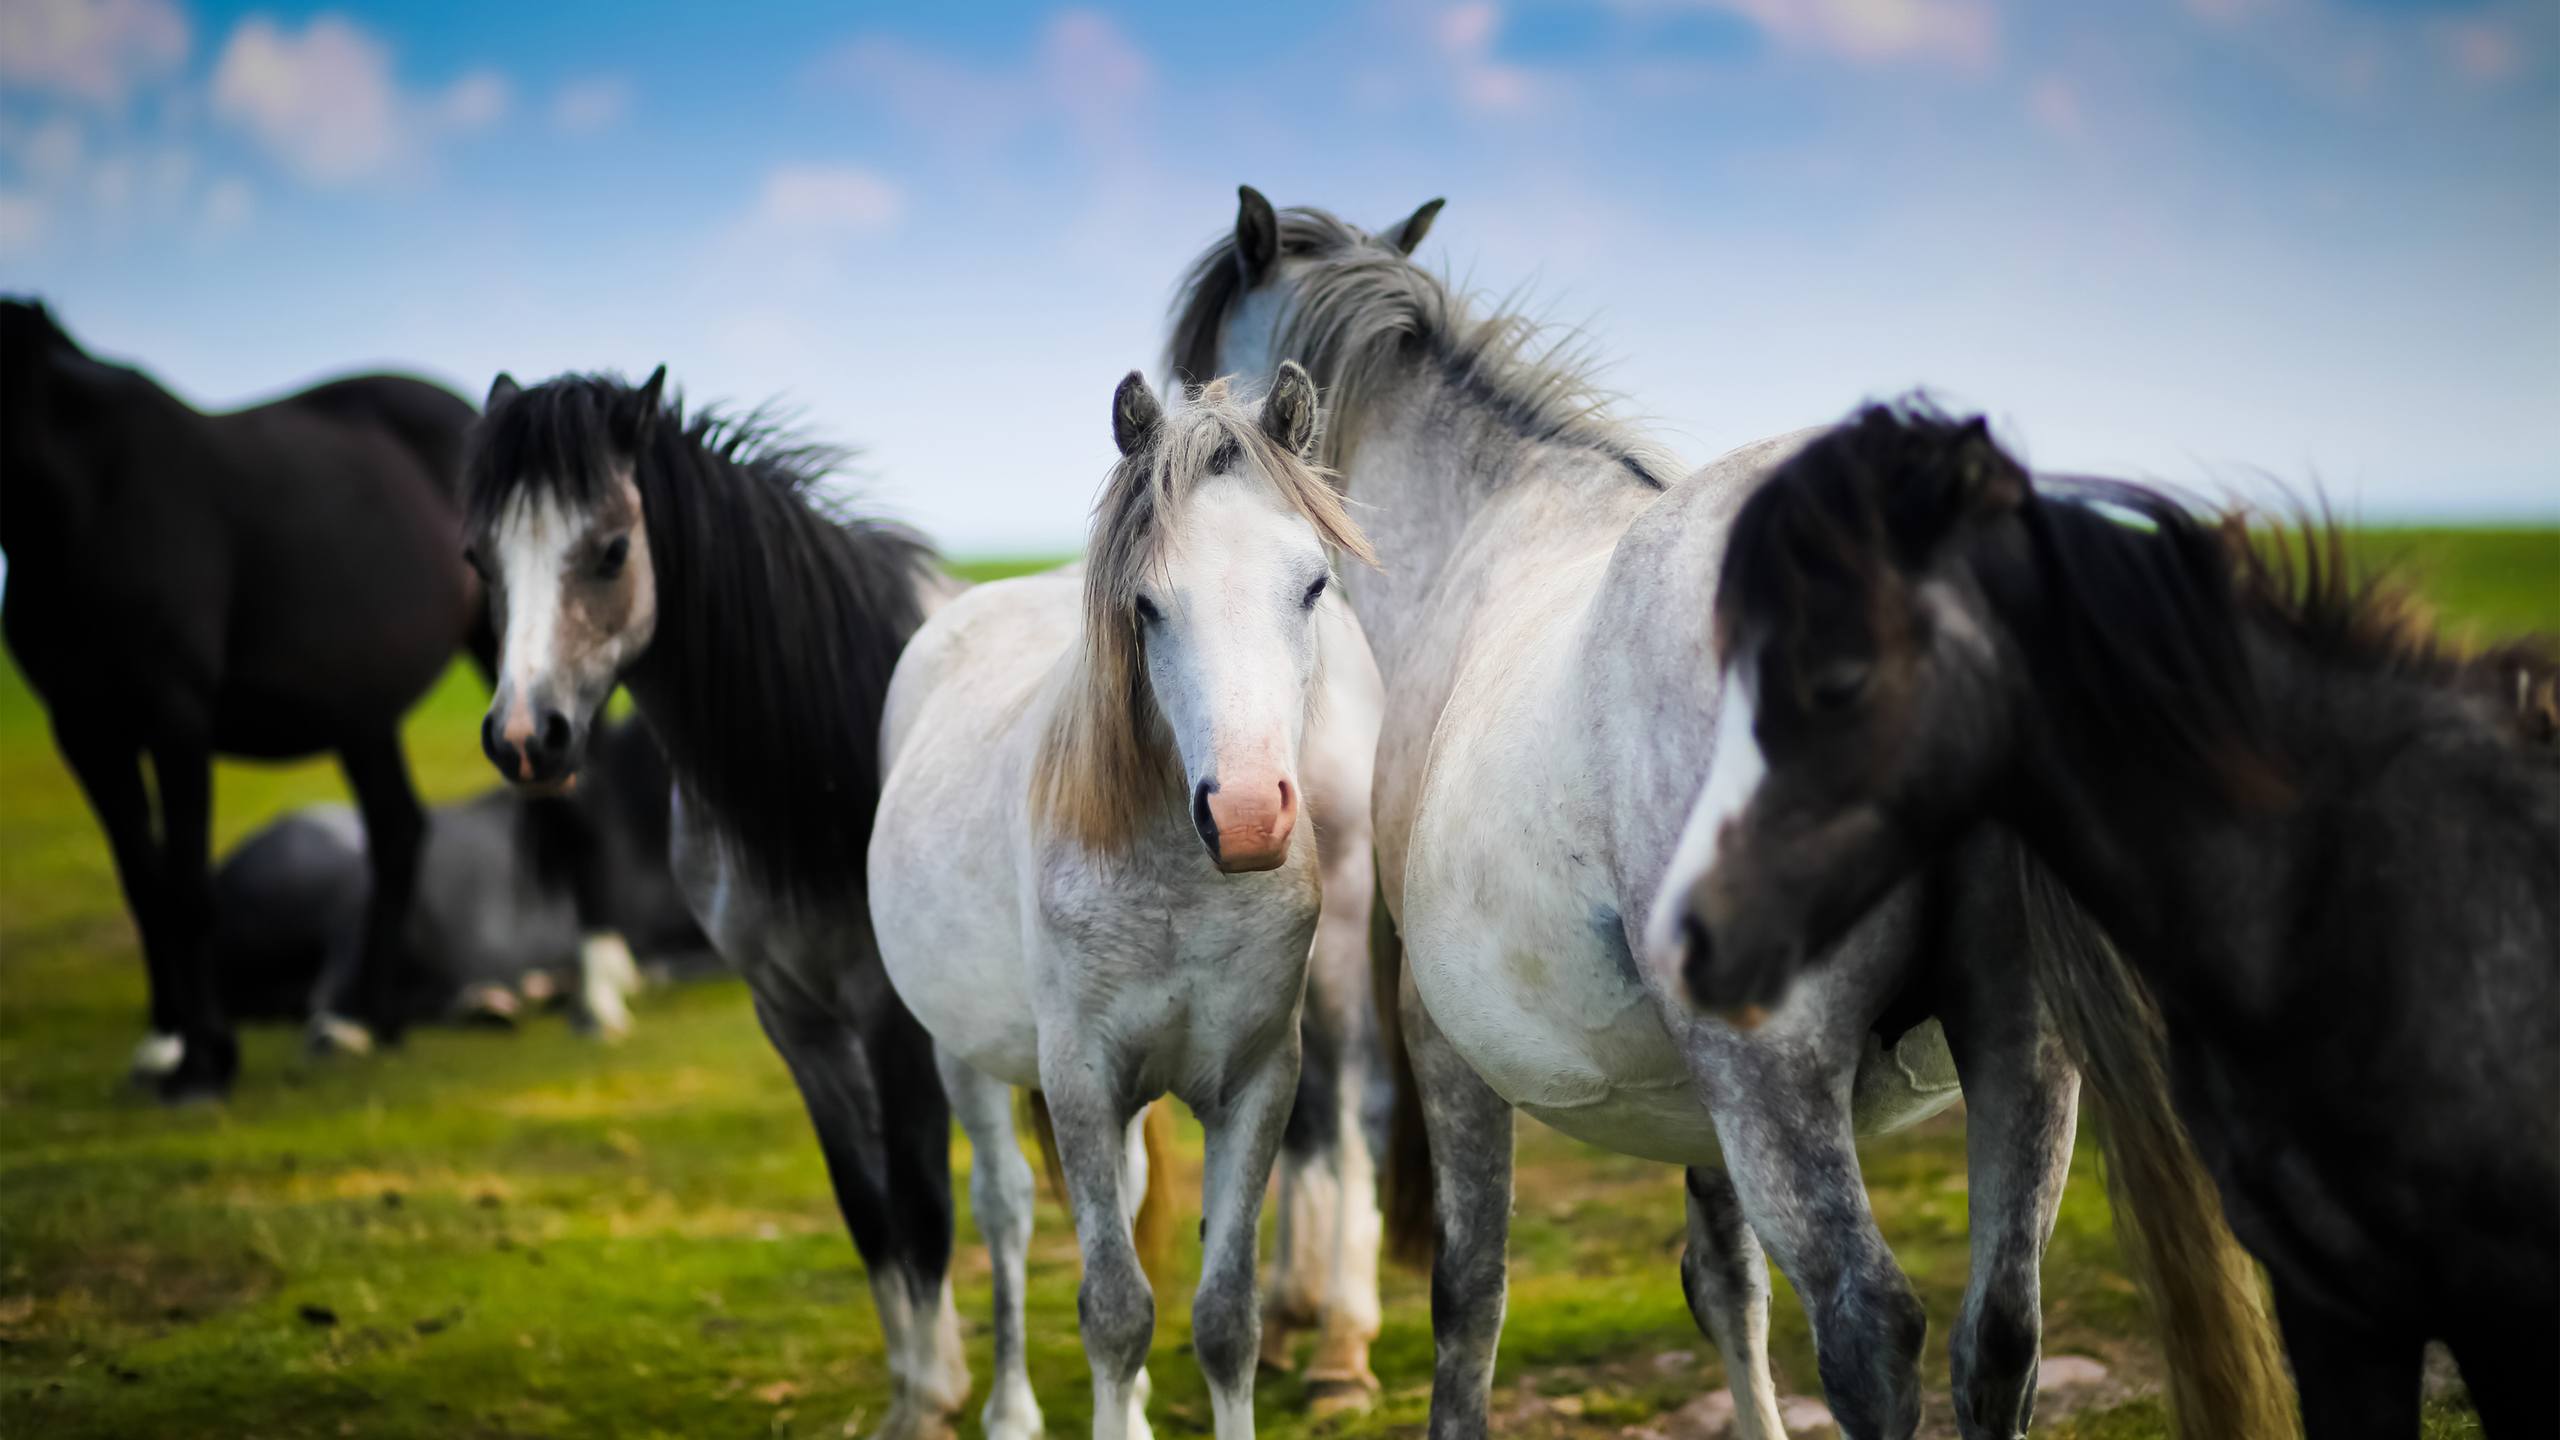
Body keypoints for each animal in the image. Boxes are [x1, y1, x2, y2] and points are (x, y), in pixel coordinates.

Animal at [0, 294, 483, 1096]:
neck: (88, 496)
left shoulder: (176, 715)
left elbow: (189, 888)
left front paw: (203, 1062)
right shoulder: (85, 727)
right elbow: (144, 884)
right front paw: (164, 1042)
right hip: (361, 712)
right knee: (397, 831)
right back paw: (368, 1021)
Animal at [458, 368, 962, 1434]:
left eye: (612, 549)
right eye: (479, 558)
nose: (525, 738)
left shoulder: (894, 1024)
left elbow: (923, 1205)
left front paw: (934, 1402)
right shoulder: (795, 1024)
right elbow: (869, 1211)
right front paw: (916, 1389)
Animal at [865, 366, 1382, 1434]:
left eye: (1313, 585)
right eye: (1146, 605)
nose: (1246, 816)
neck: (1182, 886)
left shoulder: (1256, 1081)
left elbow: (1225, 1316)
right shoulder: (1079, 1081)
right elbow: (1113, 1310)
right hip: (963, 1056)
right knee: (1007, 1212)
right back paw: (1012, 1409)